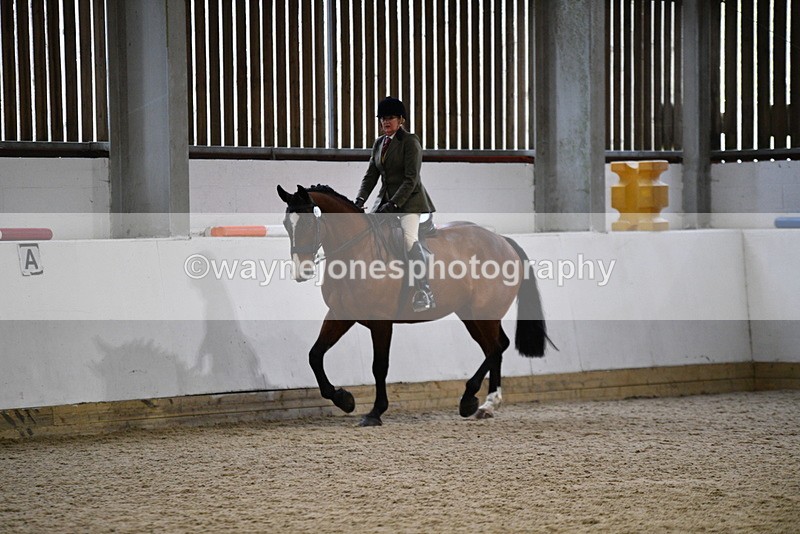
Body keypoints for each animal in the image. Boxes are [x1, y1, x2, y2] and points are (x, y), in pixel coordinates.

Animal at [277, 184, 549, 426]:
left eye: (309, 223)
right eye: (287, 224)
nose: (302, 271)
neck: (357, 252)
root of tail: (502, 241)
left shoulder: (381, 321)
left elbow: (379, 367)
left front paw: (375, 412)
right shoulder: (340, 314)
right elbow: (315, 355)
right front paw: (345, 399)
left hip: (485, 312)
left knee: (495, 348)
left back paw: (470, 400)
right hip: (471, 314)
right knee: (494, 348)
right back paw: (486, 405)